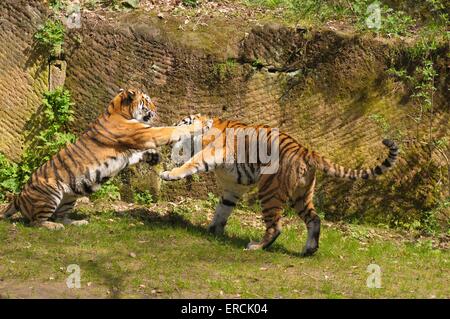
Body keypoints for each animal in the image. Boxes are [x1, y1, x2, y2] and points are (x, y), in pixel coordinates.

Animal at [0, 89, 211, 230]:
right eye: (147, 101)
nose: (156, 108)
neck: (118, 110)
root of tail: (19, 196)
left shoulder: (129, 152)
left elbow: (138, 154)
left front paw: (153, 156)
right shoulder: (145, 134)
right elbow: (170, 130)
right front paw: (201, 125)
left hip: (68, 198)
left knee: (60, 216)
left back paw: (77, 222)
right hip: (51, 193)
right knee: (35, 222)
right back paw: (54, 226)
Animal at [160, 115, 400, 258]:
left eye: (182, 122)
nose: (170, 129)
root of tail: (306, 151)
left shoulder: (211, 154)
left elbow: (191, 164)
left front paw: (168, 174)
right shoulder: (233, 188)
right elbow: (222, 210)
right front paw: (213, 231)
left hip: (270, 191)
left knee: (275, 227)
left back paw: (256, 246)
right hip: (301, 195)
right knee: (314, 219)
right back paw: (309, 249)